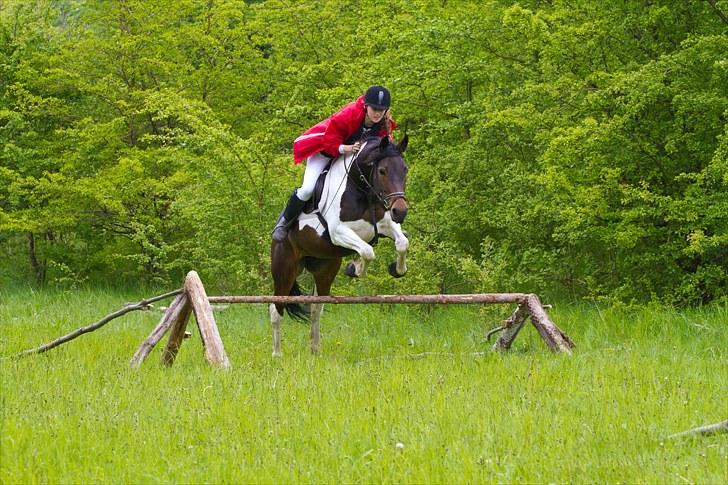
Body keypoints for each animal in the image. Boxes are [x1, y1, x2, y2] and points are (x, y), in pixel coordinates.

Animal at [272, 135, 410, 356]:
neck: (362, 189)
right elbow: (368, 251)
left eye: (405, 169)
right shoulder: (338, 232)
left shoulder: (384, 224)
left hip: (325, 270)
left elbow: (402, 243)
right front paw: (355, 268)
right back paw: (277, 354)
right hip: (285, 269)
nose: (401, 211)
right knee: (276, 309)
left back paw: (315, 351)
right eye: (382, 171)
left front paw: (396, 269)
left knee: (315, 309)